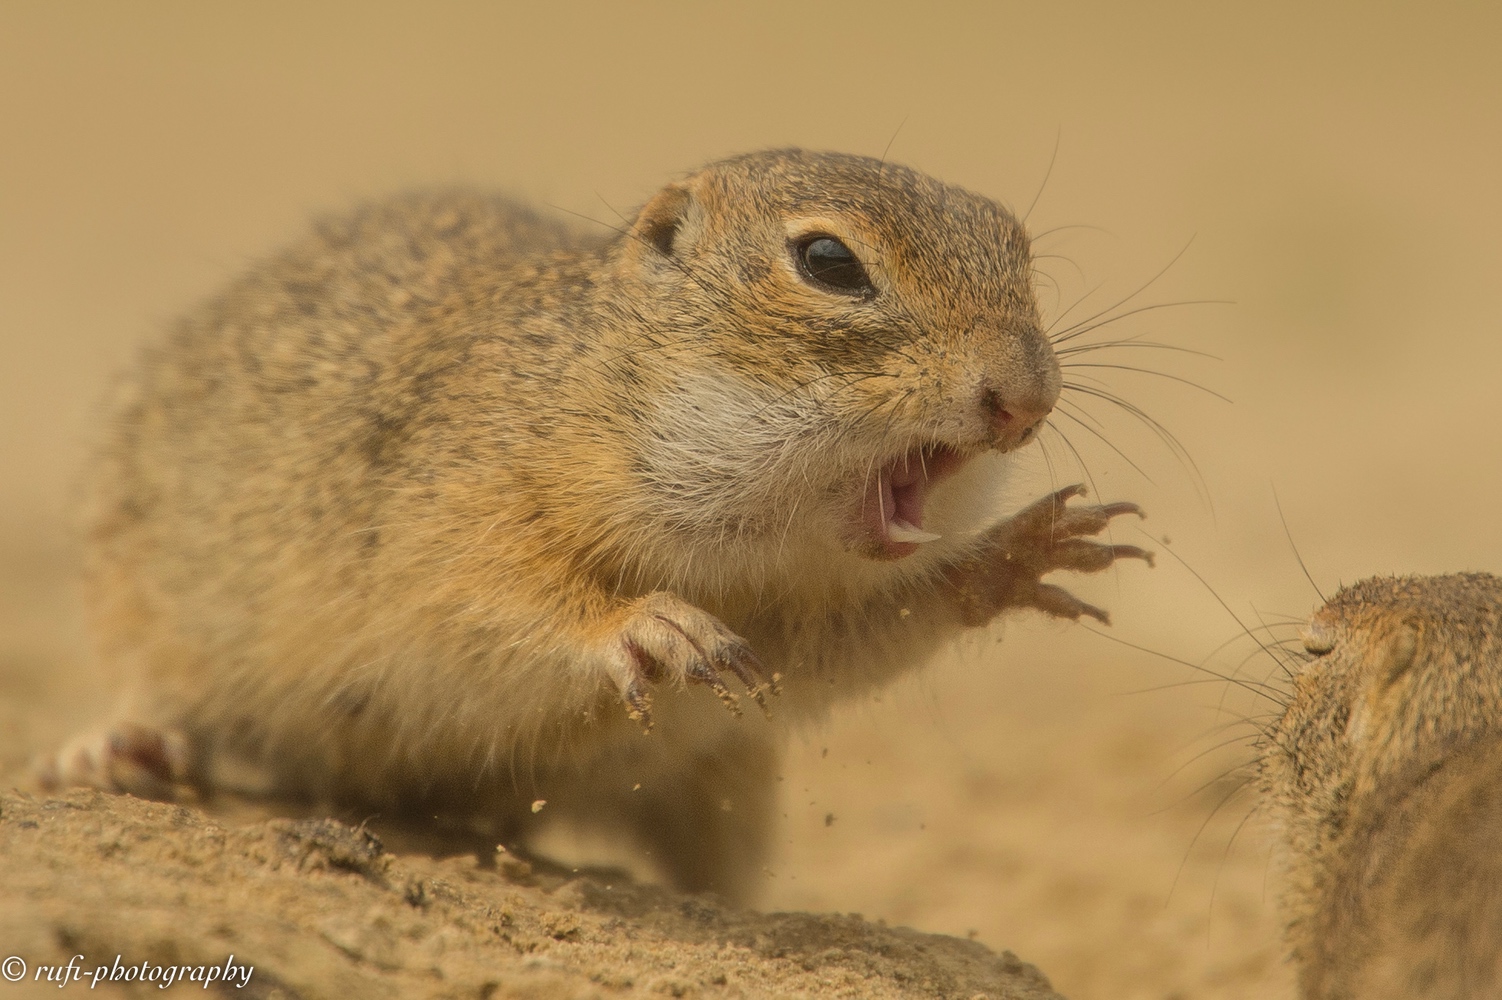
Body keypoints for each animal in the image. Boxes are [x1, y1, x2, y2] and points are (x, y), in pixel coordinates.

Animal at [43, 146, 1147, 894]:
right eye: (828, 261)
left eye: (1015, 246)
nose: (1027, 397)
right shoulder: (459, 505)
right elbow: (493, 593)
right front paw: (643, 623)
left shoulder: (787, 633)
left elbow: (850, 644)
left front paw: (1017, 556)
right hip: (138, 593)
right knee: (150, 681)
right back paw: (119, 748)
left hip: (722, 793)